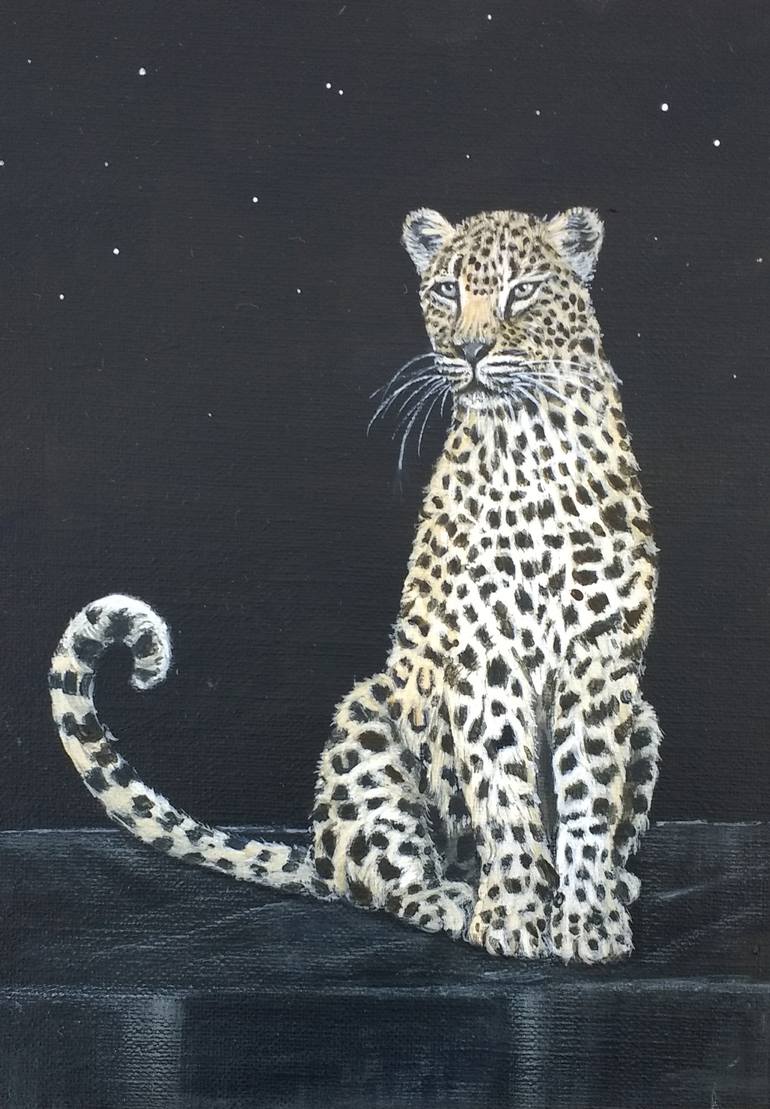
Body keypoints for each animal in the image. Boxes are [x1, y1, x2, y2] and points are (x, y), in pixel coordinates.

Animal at [49, 204, 661, 963]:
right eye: (447, 291)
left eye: (521, 291)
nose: (471, 351)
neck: (531, 444)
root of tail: (315, 854)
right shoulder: (483, 660)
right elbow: (505, 791)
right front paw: (515, 915)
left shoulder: (600, 659)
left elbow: (587, 798)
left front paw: (587, 923)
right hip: (365, 724)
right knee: (381, 880)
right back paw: (458, 900)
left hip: (646, 718)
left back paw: (614, 890)